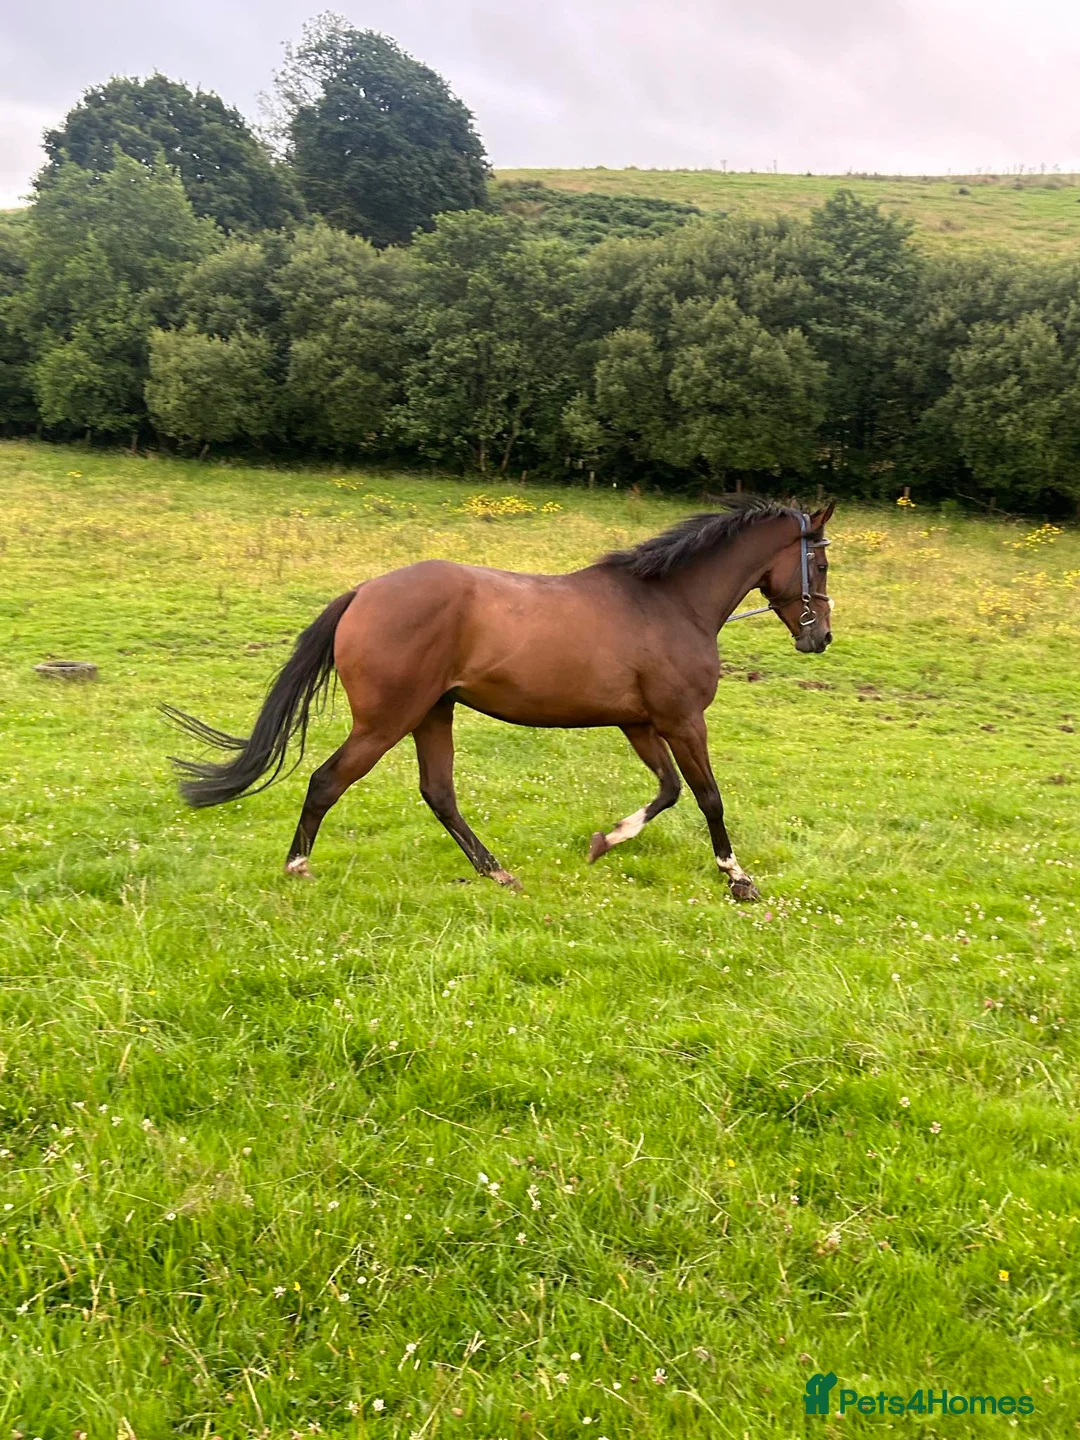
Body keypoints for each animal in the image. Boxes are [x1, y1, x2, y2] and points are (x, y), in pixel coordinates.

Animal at [163, 494, 835, 902]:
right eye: (822, 566)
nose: (820, 637)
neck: (669, 602)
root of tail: (364, 593)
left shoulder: (640, 724)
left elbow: (668, 792)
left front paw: (603, 842)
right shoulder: (681, 720)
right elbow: (708, 797)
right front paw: (737, 877)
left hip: (432, 715)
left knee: (439, 793)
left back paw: (496, 871)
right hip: (385, 722)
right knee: (327, 781)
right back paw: (298, 868)